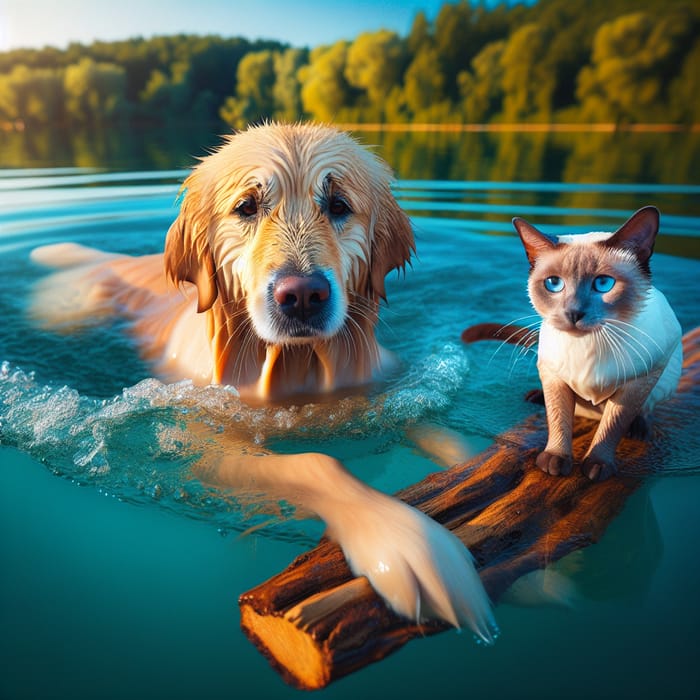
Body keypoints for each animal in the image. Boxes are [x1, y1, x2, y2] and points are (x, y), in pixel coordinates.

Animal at [30, 121, 494, 640]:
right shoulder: (205, 444)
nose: (304, 295)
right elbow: (315, 464)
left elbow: (457, 445)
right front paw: (407, 541)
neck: (296, 371)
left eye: (338, 205)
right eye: (247, 207)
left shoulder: (388, 401)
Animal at [512, 205, 680, 482]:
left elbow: (614, 424)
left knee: (645, 409)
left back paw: (639, 430)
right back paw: (535, 397)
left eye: (603, 284)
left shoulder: (643, 377)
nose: (574, 313)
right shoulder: (552, 375)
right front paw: (555, 461)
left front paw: (597, 466)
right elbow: (559, 418)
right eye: (553, 284)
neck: (589, 345)